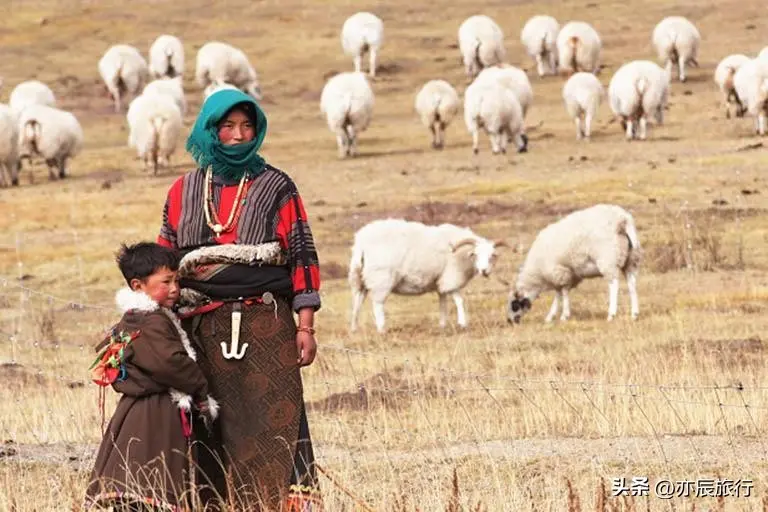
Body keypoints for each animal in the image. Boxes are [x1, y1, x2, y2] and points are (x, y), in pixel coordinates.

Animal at [346, 219, 504, 332]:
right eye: (475, 254)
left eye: (492, 256)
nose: (484, 271)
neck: (462, 253)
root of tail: (361, 243)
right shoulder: (451, 278)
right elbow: (460, 301)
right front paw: (462, 324)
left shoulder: (441, 282)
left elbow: (443, 302)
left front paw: (443, 324)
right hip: (381, 278)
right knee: (377, 305)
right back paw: (381, 329)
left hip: (359, 277)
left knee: (357, 302)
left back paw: (354, 328)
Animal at [510, 204, 640, 324]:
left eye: (514, 305)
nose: (510, 321)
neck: (537, 273)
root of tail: (622, 219)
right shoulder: (568, 275)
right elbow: (559, 294)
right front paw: (551, 316)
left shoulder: (560, 272)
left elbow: (563, 293)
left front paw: (564, 315)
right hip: (631, 259)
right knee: (632, 283)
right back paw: (634, 314)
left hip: (608, 258)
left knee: (614, 285)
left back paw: (611, 314)